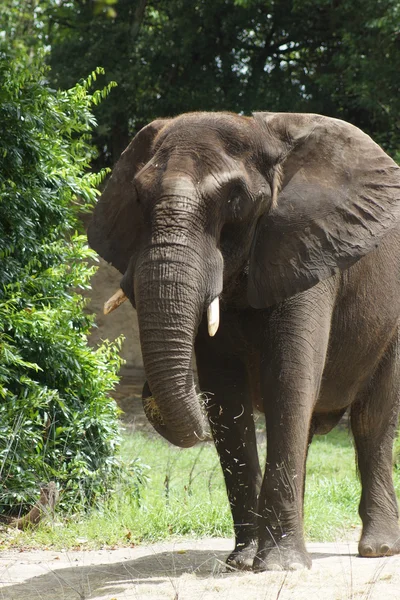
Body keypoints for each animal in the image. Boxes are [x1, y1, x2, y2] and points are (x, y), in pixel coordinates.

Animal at [87, 112, 400, 572]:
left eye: (235, 200)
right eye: (139, 197)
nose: (139, 386)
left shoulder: (305, 245)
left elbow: (287, 378)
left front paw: (280, 567)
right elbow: (224, 393)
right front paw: (243, 561)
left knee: (372, 419)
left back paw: (378, 549)